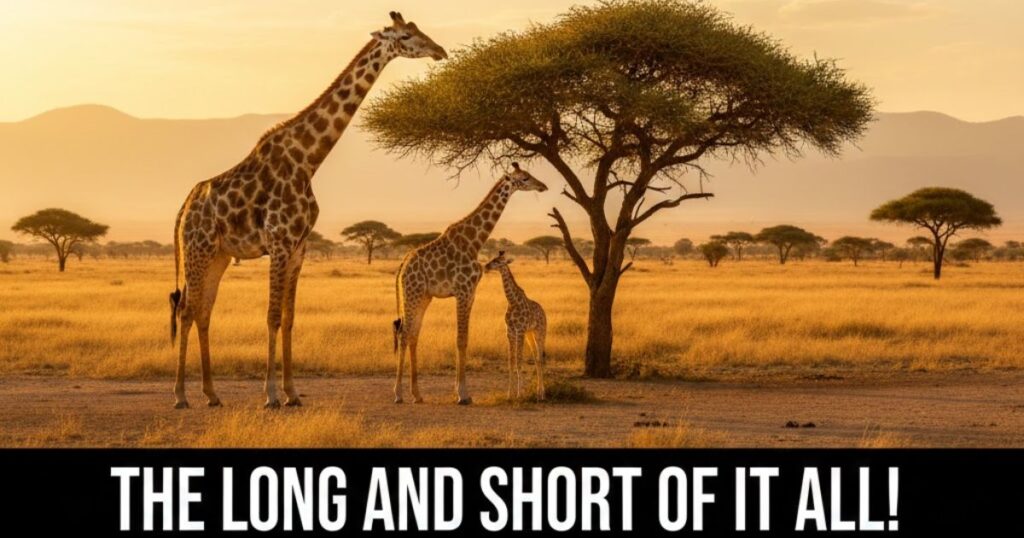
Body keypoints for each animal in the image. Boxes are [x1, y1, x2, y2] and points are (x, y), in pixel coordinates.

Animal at [168, 12, 447, 409]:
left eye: (419, 29)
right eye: (406, 36)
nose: (440, 51)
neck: (307, 160)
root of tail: (184, 208)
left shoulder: (300, 247)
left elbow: (289, 318)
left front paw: (292, 393)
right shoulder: (280, 242)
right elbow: (271, 316)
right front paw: (270, 395)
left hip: (219, 255)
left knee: (203, 311)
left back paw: (212, 394)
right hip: (198, 249)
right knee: (186, 310)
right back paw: (180, 395)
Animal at [483, 251, 548, 400]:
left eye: (498, 261)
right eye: (493, 259)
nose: (486, 266)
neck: (512, 302)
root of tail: (543, 311)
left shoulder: (520, 331)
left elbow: (519, 362)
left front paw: (519, 394)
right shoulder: (510, 332)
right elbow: (511, 362)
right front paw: (509, 394)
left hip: (540, 333)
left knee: (540, 358)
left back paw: (542, 394)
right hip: (530, 334)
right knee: (536, 359)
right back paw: (538, 393)